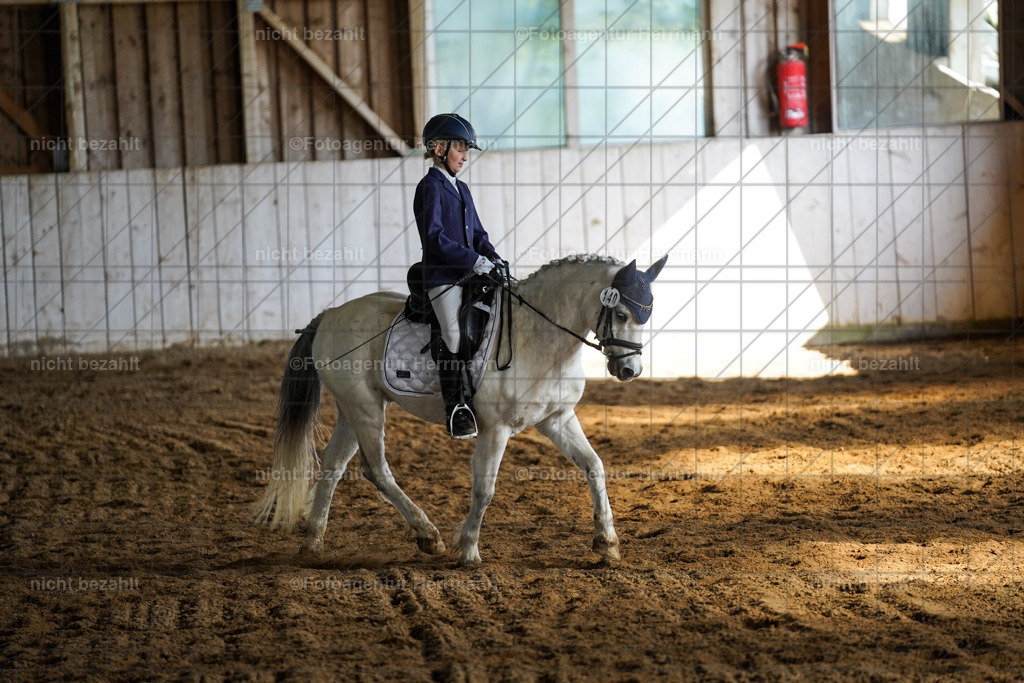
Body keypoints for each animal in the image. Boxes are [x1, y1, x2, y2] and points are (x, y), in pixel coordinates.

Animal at [253, 253, 667, 565]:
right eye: (621, 315)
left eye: (646, 315)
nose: (630, 371)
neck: (539, 337)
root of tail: (330, 314)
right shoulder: (495, 429)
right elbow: (484, 488)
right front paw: (468, 550)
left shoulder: (556, 419)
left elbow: (595, 467)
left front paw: (607, 543)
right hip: (366, 408)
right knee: (376, 470)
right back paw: (428, 536)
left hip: (353, 408)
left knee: (333, 464)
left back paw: (313, 543)